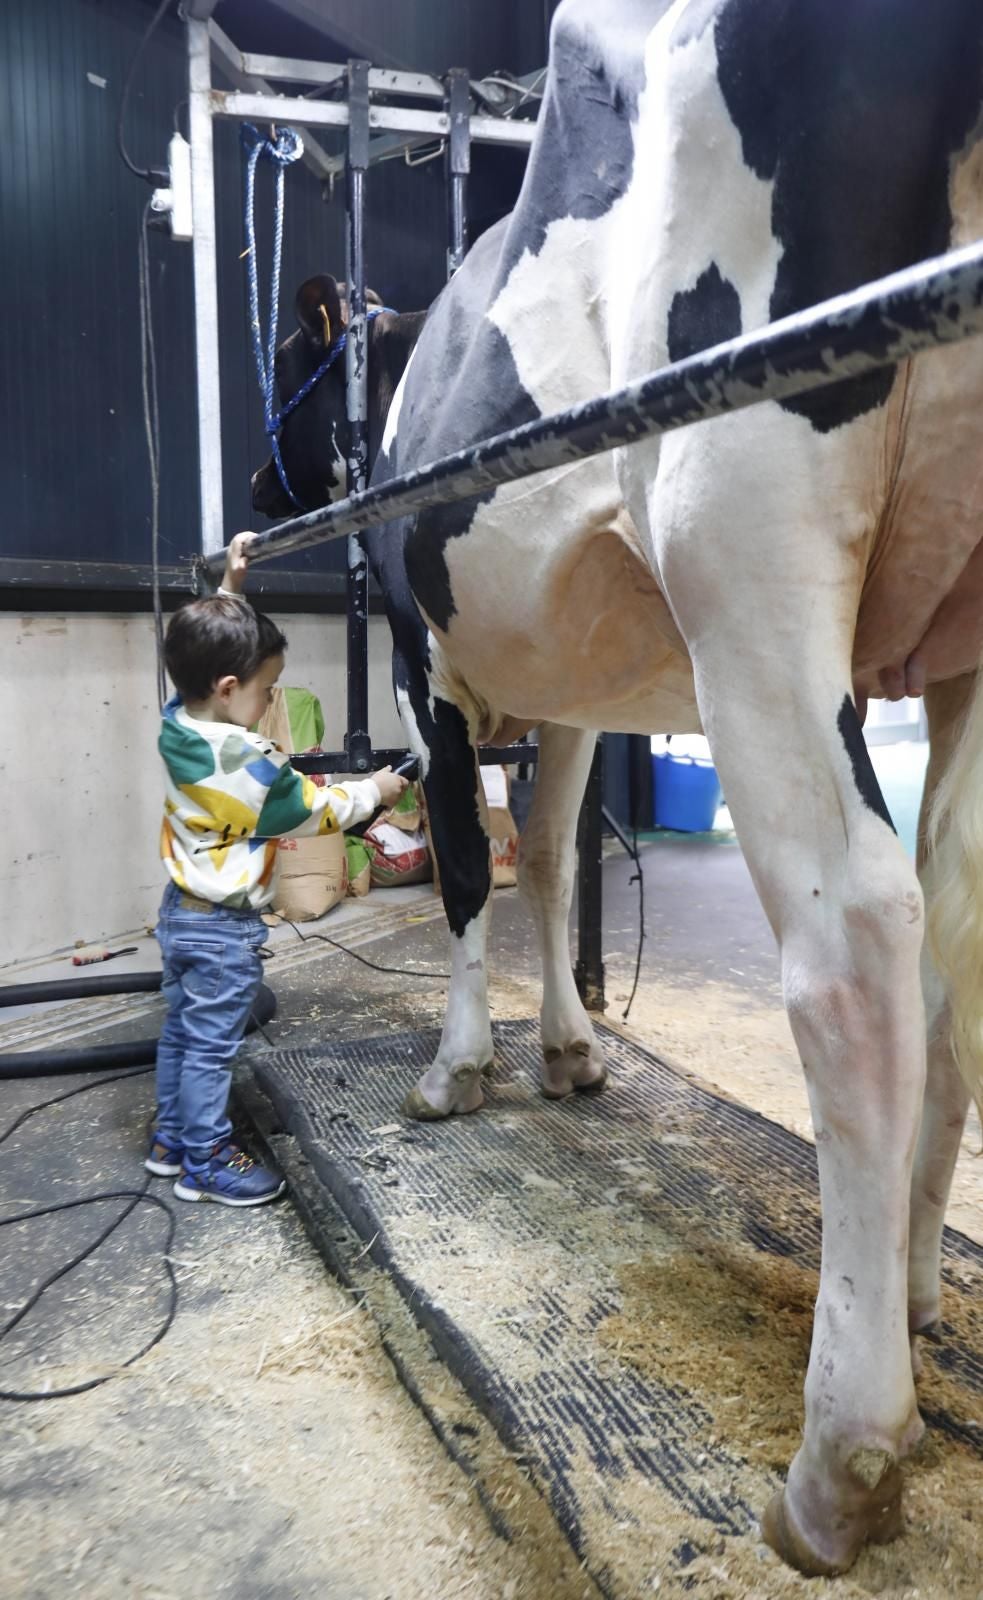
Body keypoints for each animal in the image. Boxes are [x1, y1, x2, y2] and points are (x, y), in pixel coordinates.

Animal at [256, 0, 983, 1574]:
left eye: (286, 349)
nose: (273, 481)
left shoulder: (421, 660)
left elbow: (471, 863)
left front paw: (460, 1064)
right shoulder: (576, 694)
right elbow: (551, 849)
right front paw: (571, 1045)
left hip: (740, 537)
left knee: (855, 940)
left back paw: (840, 1454)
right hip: (964, 629)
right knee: (955, 927)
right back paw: (907, 1289)